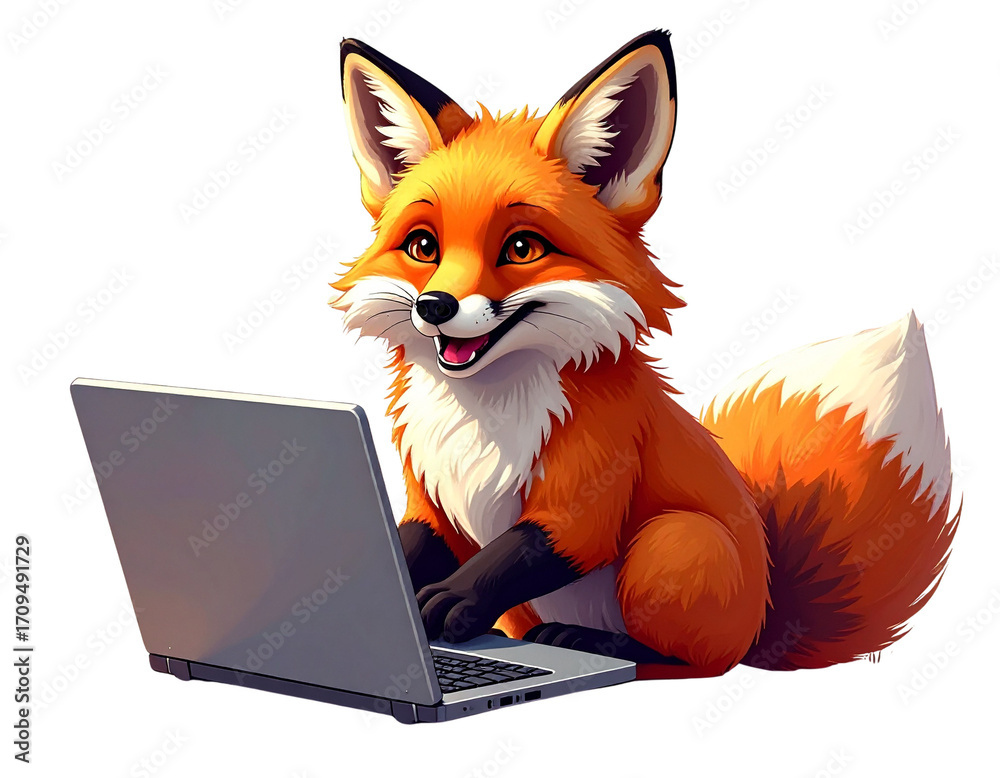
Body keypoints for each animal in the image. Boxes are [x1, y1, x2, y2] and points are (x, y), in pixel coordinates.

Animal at [329, 30, 959, 679]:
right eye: (422, 246)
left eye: (522, 247)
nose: (435, 306)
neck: (486, 413)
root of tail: (763, 619)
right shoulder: (431, 498)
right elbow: (411, 544)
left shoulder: (590, 485)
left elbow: (520, 550)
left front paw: (452, 599)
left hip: (674, 543)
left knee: (683, 661)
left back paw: (590, 641)